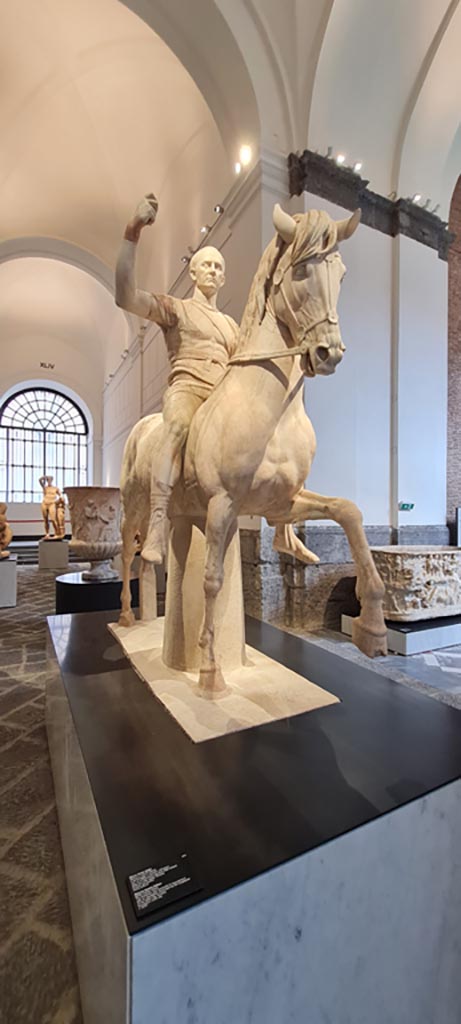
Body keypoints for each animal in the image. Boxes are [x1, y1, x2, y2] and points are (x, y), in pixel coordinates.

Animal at [117, 203, 385, 692]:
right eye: (300, 270)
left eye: (341, 272)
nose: (329, 354)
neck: (271, 411)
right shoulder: (223, 504)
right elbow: (212, 580)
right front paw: (209, 669)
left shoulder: (281, 503)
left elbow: (349, 512)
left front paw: (373, 626)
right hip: (136, 505)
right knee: (129, 552)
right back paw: (128, 617)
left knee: (146, 561)